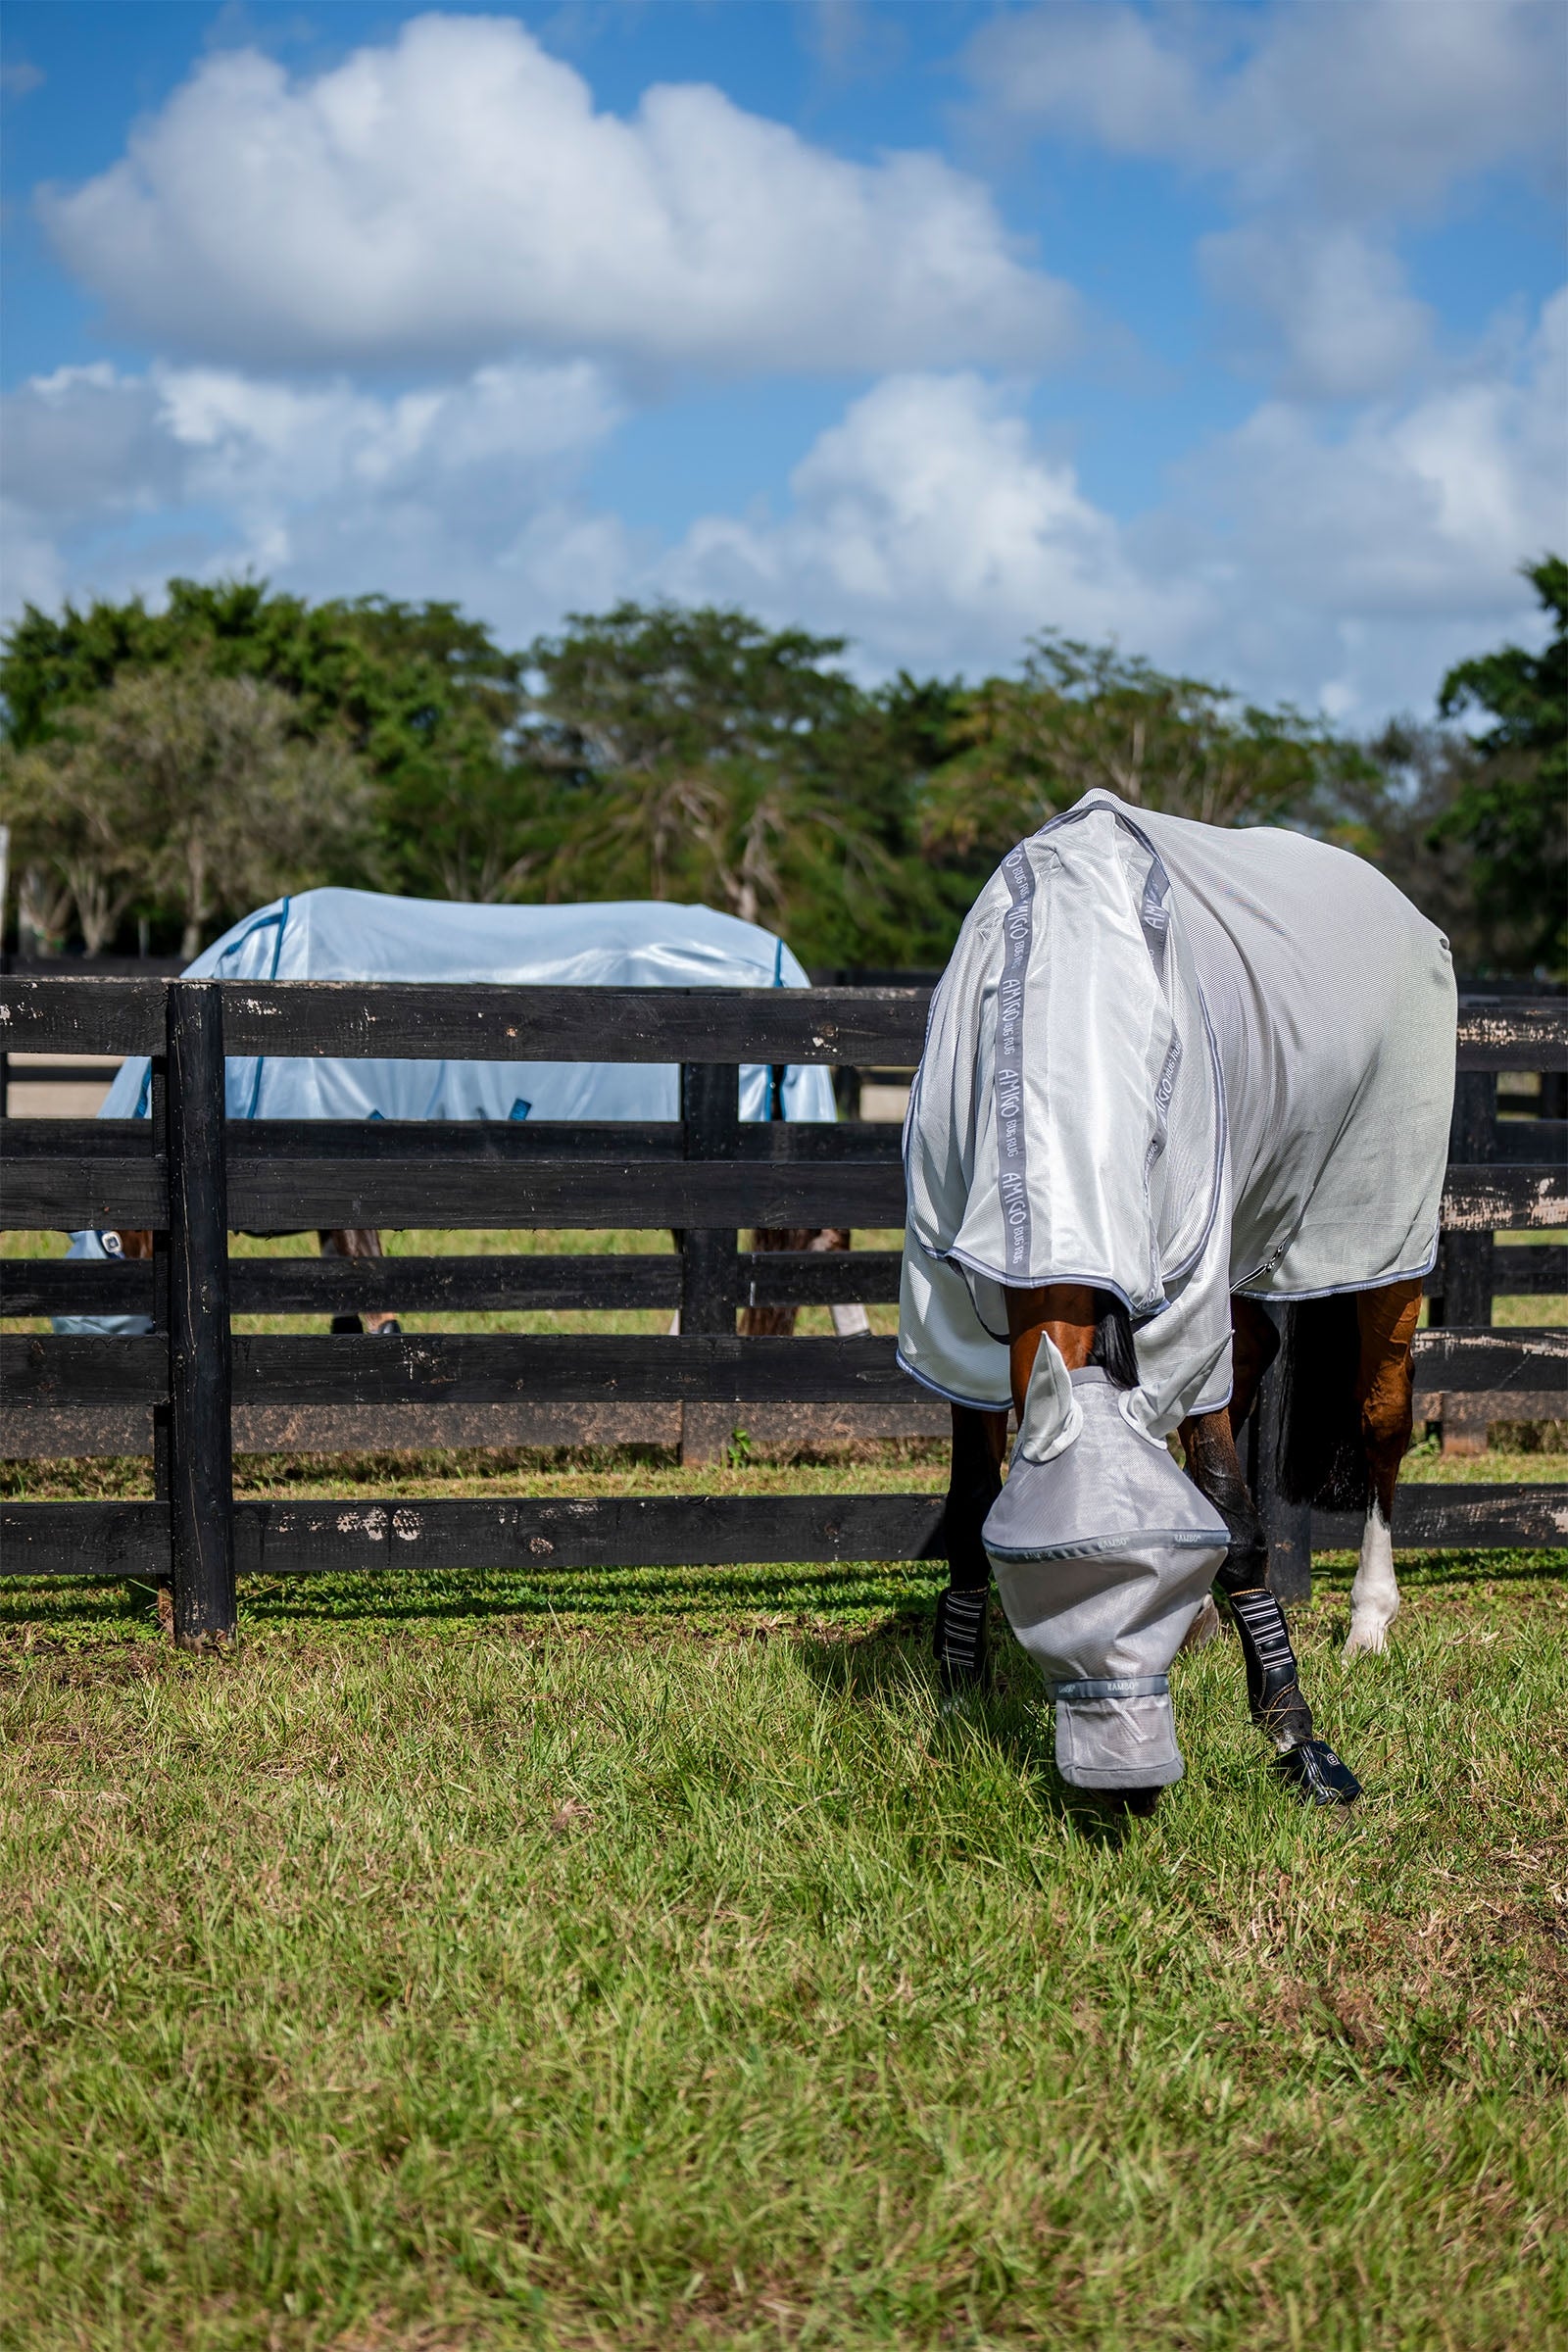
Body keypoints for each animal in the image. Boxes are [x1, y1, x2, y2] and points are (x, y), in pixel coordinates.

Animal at [904, 791, 1453, 1812]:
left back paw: (1369, 1618)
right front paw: (957, 1692)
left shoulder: (1189, 1291)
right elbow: (970, 1505)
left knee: (1382, 1418)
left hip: (1383, 1238)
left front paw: (1294, 1735)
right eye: (1043, 1596)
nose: (1128, 1783)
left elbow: (1237, 1520)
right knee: (1253, 1359)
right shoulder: (949, 1316)